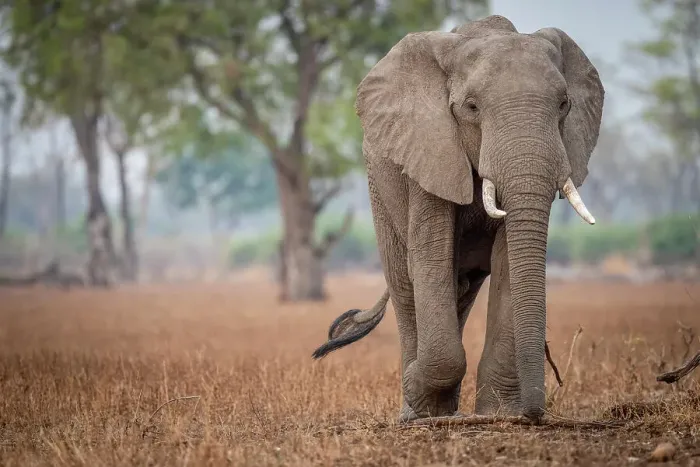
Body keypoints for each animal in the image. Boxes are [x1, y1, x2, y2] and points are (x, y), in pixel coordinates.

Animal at [312, 15, 603, 424]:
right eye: (471, 107)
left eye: (564, 105)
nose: (535, 414)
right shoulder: (428, 148)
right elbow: (430, 260)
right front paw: (418, 393)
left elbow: (508, 261)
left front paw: (499, 414)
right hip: (379, 191)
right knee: (407, 286)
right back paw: (418, 413)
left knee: (461, 289)